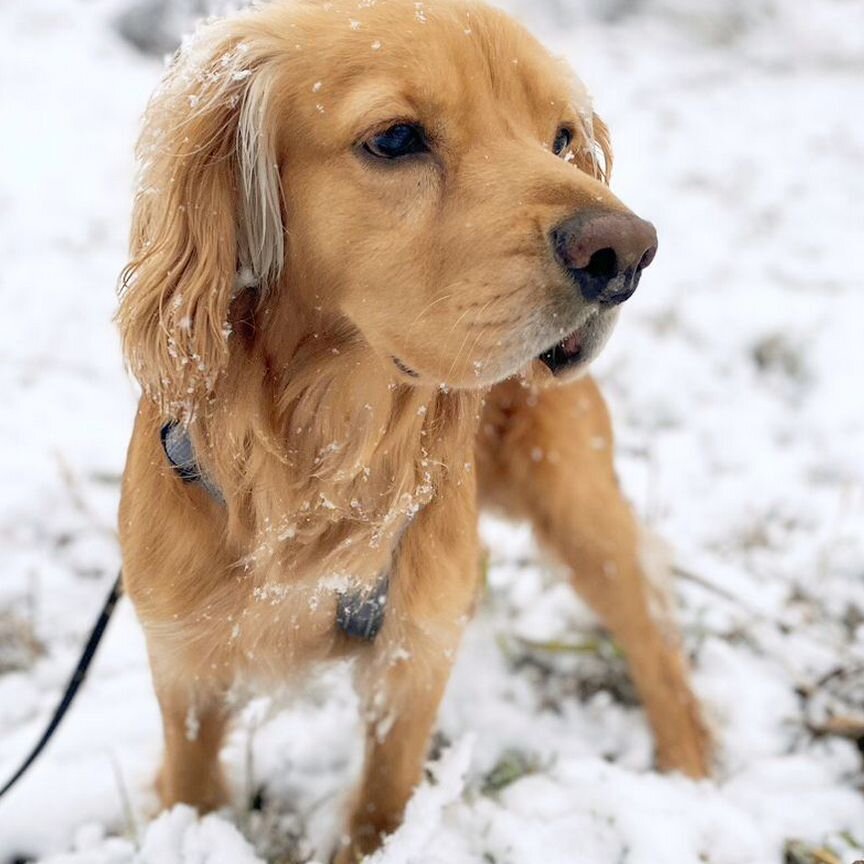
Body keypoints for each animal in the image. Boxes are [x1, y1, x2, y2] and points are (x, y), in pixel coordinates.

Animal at [113, 0, 708, 856]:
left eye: (561, 137)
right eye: (394, 139)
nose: (625, 254)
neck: (323, 450)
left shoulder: (412, 657)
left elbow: (382, 801)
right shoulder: (185, 667)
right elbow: (192, 790)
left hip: (577, 501)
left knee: (653, 630)